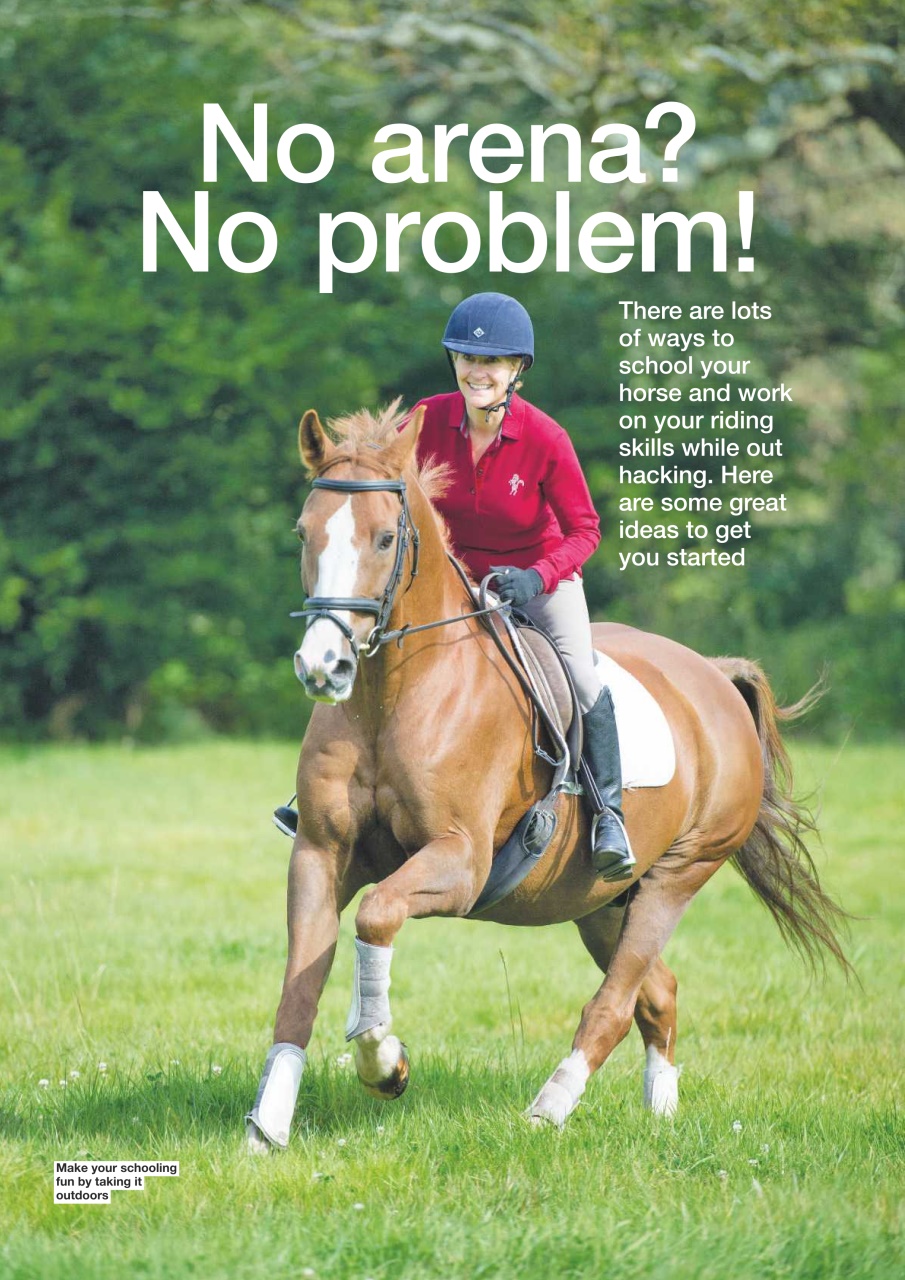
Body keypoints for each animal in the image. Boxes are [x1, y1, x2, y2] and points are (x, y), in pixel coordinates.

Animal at [246, 402, 848, 1151]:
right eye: (305, 533)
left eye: (385, 539)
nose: (322, 667)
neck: (395, 693)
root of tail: (713, 676)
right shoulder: (320, 852)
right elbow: (298, 987)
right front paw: (267, 1125)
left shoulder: (462, 861)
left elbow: (378, 914)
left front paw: (383, 1059)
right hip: (600, 901)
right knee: (658, 993)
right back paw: (661, 1113)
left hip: (677, 875)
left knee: (615, 1003)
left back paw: (550, 1108)